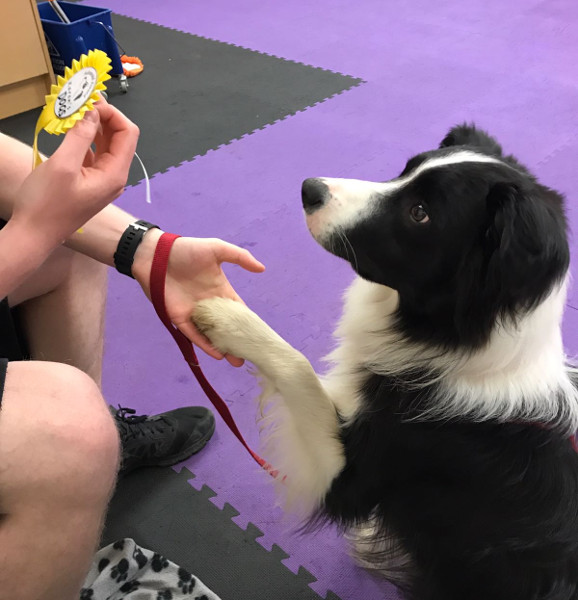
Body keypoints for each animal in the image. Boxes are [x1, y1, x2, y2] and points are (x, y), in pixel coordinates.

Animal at [192, 124, 576, 596]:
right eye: (407, 169)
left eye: (419, 213)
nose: (309, 189)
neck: (459, 347)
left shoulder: (352, 476)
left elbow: (298, 367)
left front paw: (227, 317)